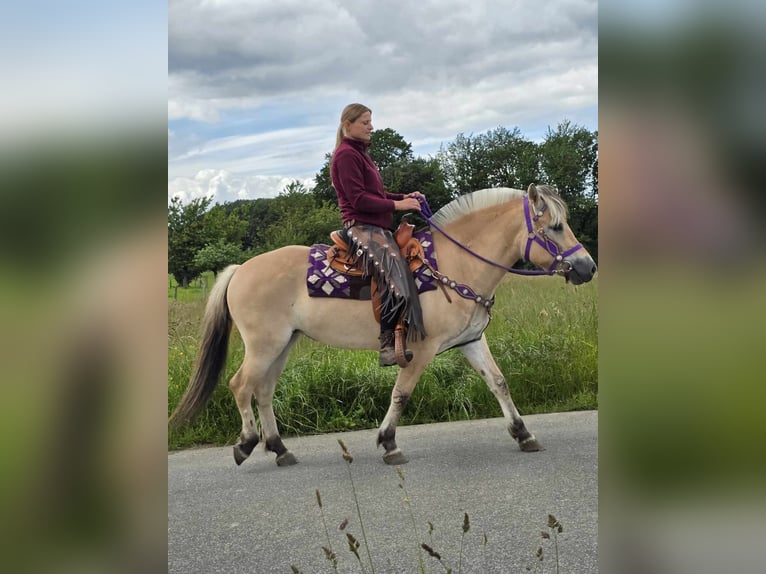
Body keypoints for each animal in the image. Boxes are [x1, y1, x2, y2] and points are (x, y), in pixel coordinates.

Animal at [171, 184, 596, 468]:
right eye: (555, 227)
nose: (587, 267)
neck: (455, 264)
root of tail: (241, 269)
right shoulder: (420, 349)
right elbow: (401, 394)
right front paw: (389, 443)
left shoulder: (472, 340)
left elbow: (499, 382)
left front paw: (524, 434)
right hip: (265, 345)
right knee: (241, 385)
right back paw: (247, 443)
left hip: (283, 344)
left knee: (263, 391)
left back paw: (280, 448)